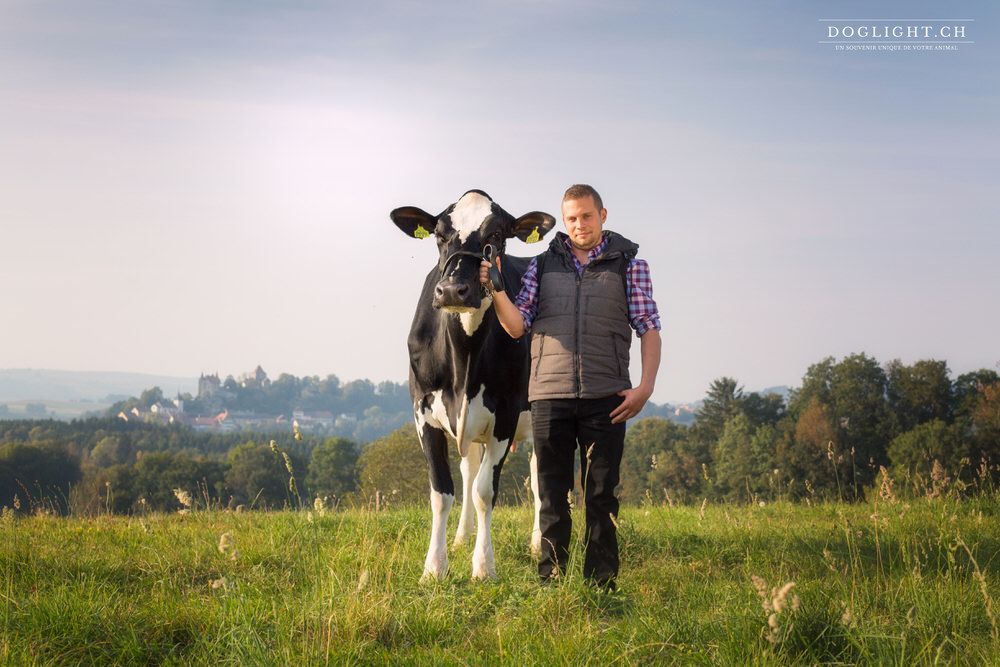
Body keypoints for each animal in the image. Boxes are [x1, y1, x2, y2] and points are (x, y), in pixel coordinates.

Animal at [392, 189, 556, 580]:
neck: (463, 357)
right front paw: (435, 567)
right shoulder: (423, 412)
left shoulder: (506, 415)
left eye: (497, 235)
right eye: (438, 234)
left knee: (539, 474)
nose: (453, 290)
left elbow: (485, 492)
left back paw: (537, 542)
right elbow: (442, 491)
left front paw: (483, 567)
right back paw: (461, 538)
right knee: (469, 470)